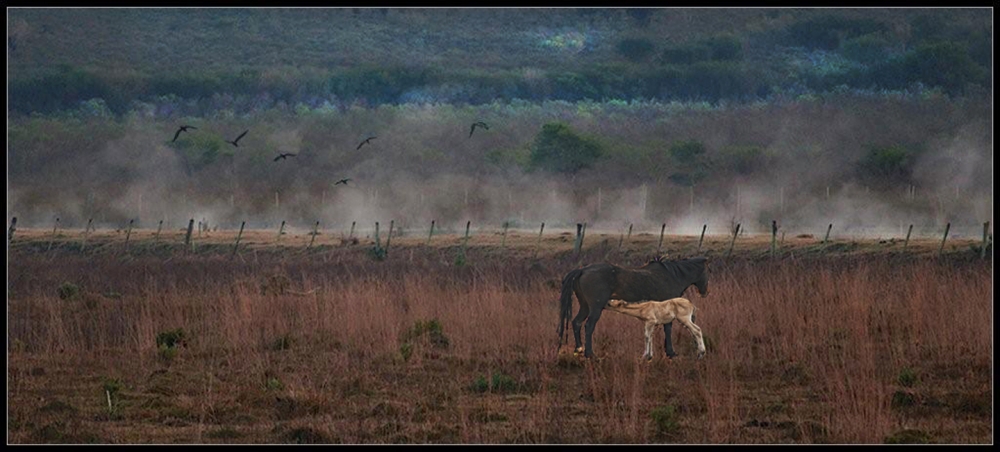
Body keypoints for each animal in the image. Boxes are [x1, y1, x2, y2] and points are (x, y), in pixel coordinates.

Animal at [556, 256, 712, 358]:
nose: (705, 292)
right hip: (595, 308)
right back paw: (590, 354)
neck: (673, 276)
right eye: (708, 271)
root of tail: (582, 270)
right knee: (588, 326)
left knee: (576, 323)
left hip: (585, 306)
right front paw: (671, 352)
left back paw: (578, 349)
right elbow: (668, 329)